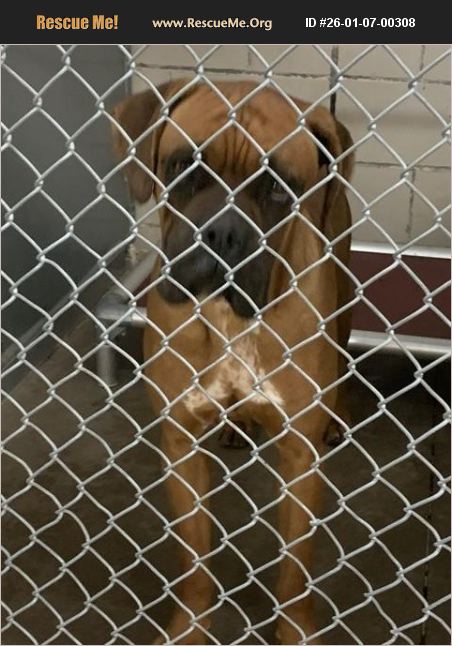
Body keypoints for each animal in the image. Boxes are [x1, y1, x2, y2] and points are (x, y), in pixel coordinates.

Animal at [111, 79, 354, 645]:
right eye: (184, 166)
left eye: (278, 188)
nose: (222, 234)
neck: (229, 319)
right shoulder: (180, 443)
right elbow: (195, 558)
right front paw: (192, 624)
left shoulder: (300, 457)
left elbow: (295, 569)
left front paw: (295, 629)